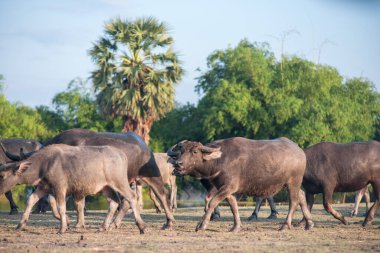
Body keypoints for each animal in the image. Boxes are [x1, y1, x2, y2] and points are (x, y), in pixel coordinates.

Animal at [0, 143, 145, 234]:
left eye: (2, 175)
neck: (45, 163)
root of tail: (121, 154)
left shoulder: (60, 188)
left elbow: (61, 207)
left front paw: (63, 228)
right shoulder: (43, 187)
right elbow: (30, 200)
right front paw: (20, 225)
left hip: (120, 183)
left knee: (132, 197)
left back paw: (141, 226)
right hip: (106, 187)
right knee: (114, 203)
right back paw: (103, 227)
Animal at [45, 128, 175, 229]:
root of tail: (145, 147)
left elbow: (74, 203)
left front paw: (73, 222)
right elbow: (64, 202)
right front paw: (74, 222)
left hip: (151, 174)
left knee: (163, 195)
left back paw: (169, 223)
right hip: (127, 181)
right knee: (127, 201)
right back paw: (114, 224)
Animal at [168, 137, 314, 232]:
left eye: (194, 152)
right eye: (180, 151)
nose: (178, 164)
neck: (220, 160)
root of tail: (300, 151)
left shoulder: (228, 187)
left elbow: (212, 202)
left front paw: (202, 225)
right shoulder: (227, 190)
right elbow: (234, 207)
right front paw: (236, 227)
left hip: (293, 182)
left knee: (293, 202)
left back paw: (285, 226)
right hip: (290, 184)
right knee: (301, 196)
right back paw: (309, 224)